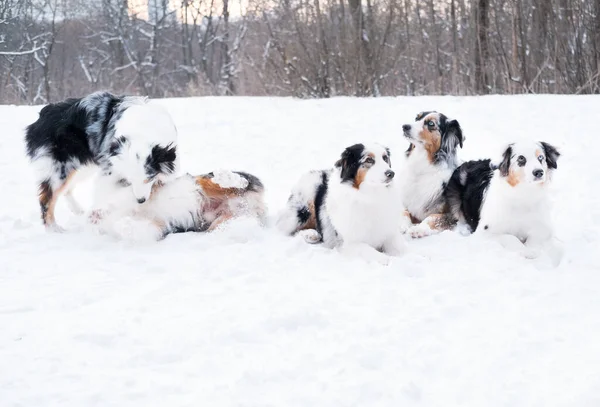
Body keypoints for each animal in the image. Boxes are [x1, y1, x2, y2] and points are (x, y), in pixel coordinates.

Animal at [25, 91, 178, 230]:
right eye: (130, 180)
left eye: (149, 178)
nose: (140, 200)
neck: (142, 132)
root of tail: (41, 116)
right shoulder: (110, 170)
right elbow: (104, 195)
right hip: (60, 167)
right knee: (47, 198)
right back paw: (54, 229)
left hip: (83, 164)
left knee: (67, 189)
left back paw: (78, 210)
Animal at [278, 145, 406, 266]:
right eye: (369, 160)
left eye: (385, 158)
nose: (391, 173)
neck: (370, 196)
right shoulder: (348, 243)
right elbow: (367, 249)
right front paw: (385, 259)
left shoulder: (388, 232)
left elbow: (400, 248)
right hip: (304, 203)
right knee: (288, 230)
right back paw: (310, 234)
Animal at [400, 111, 466, 239]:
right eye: (417, 118)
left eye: (431, 123)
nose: (404, 126)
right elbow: (403, 212)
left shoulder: (452, 214)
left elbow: (433, 217)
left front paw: (418, 229)